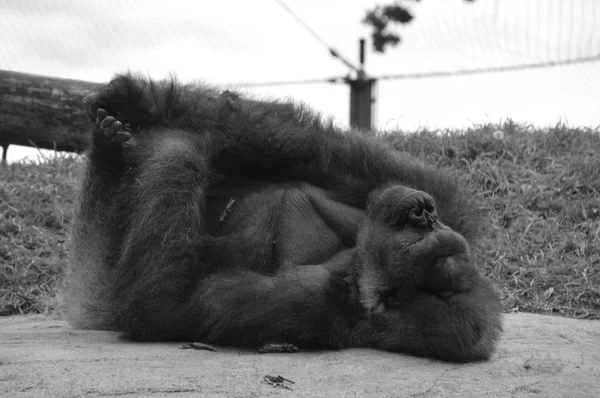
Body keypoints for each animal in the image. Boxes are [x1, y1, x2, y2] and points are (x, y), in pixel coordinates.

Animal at [64, 73, 502, 362]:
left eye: (424, 238)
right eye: (429, 226)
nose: (422, 213)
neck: (357, 265)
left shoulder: (311, 300)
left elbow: (162, 300)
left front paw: (176, 147)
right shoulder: (432, 194)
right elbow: (309, 150)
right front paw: (141, 98)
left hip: (97, 290)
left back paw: (116, 150)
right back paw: (113, 139)